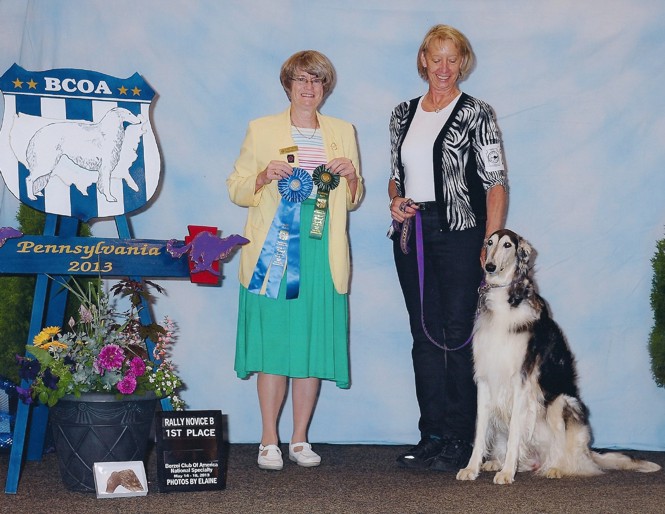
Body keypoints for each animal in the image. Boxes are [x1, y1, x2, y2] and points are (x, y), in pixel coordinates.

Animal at [456, 230, 660, 482]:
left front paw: (507, 473)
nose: (490, 266)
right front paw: (471, 468)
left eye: (507, 245)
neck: (507, 302)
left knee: (574, 460)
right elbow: (480, 432)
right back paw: (498, 462)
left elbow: (514, 432)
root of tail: (588, 452)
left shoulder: (521, 382)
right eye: (489, 243)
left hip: (562, 403)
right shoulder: (486, 378)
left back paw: (556, 468)